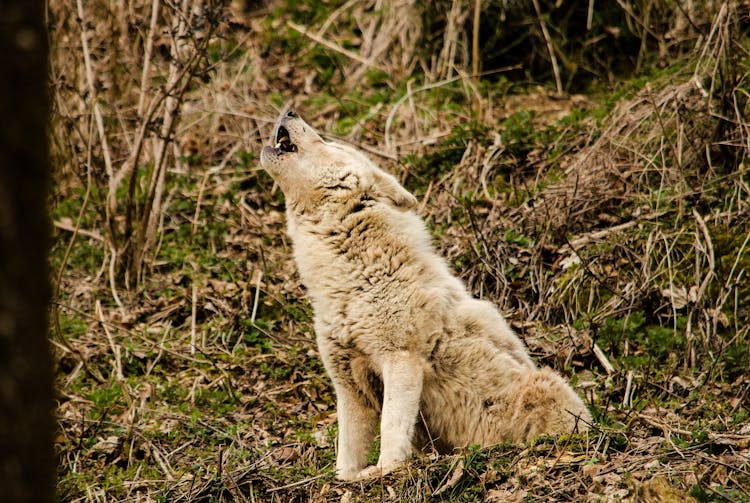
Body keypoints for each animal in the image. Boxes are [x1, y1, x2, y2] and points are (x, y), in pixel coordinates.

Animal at [262, 110, 592, 480]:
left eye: (328, 143)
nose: (290, 111)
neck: (351, 278)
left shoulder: (401, 360)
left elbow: (392, 428)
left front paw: (385, 470)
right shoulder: (349, 385)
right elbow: (347, 452)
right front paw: (348, 479)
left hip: (544, 385)